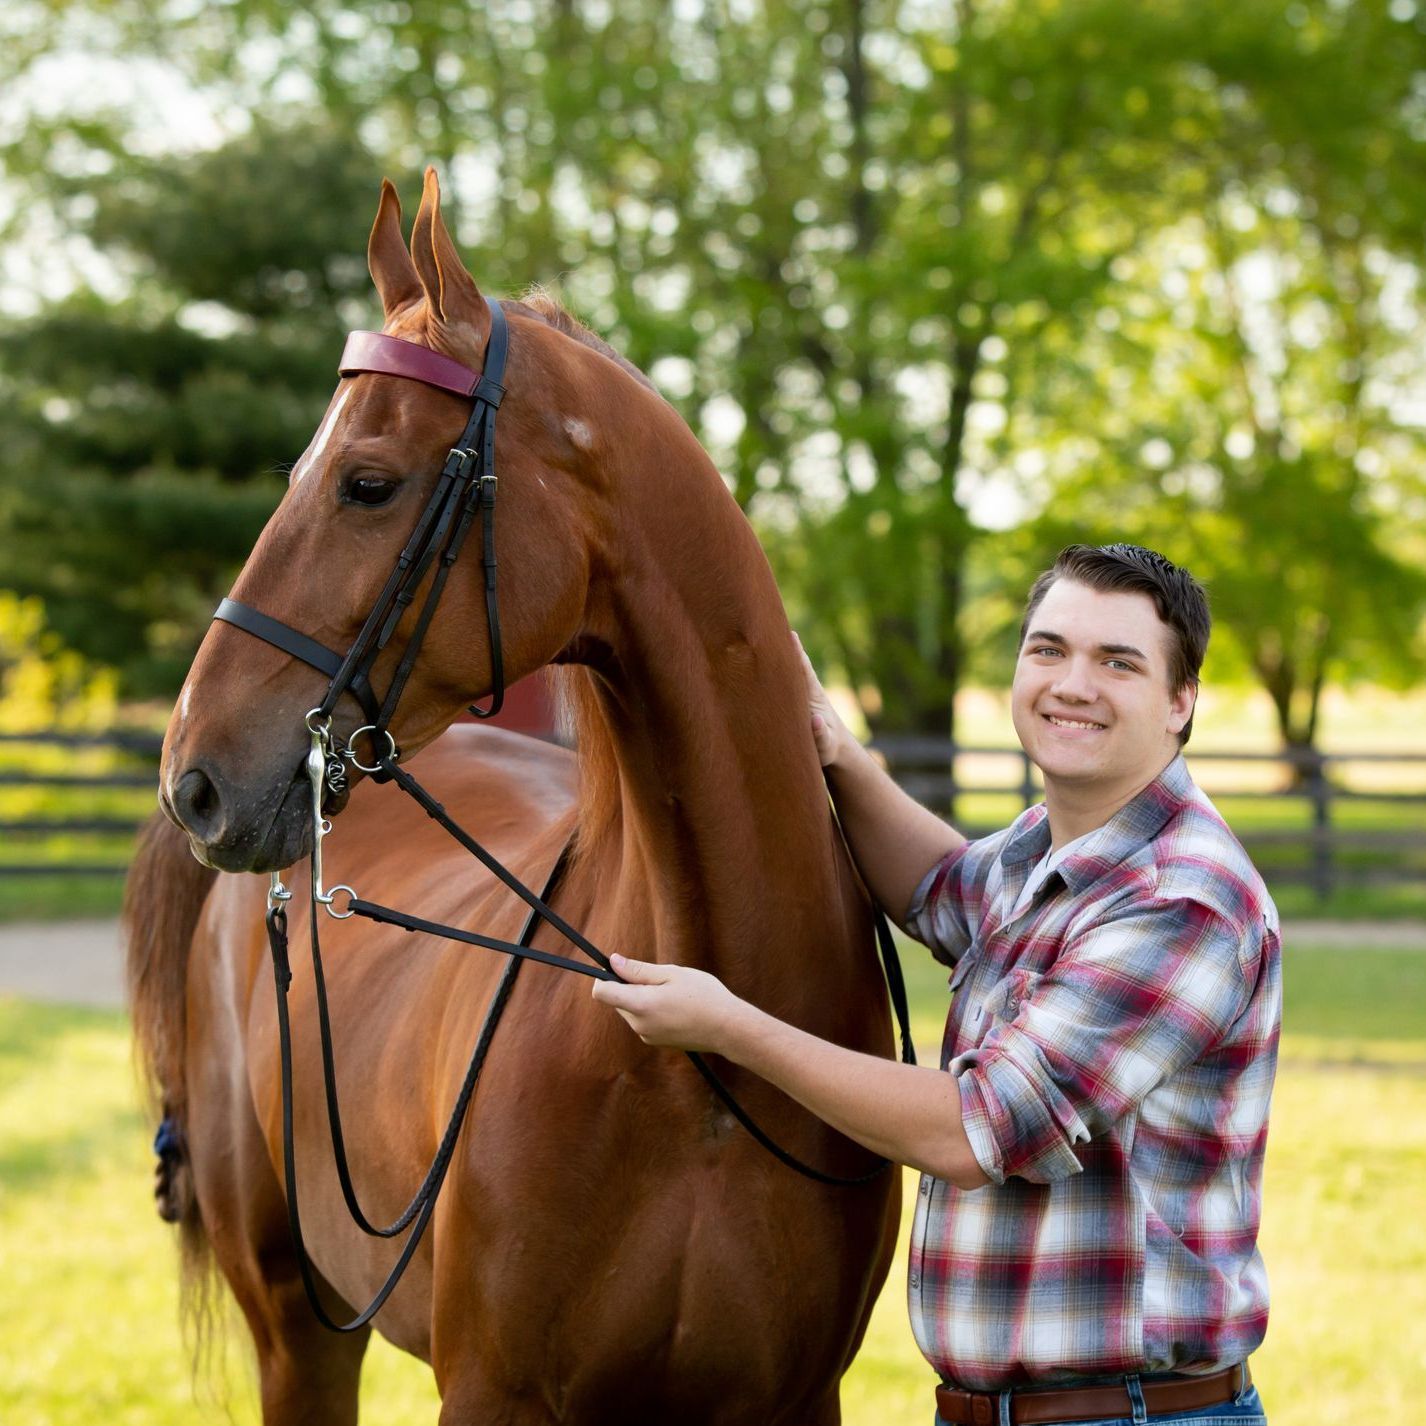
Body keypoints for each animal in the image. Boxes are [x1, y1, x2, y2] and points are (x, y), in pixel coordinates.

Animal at [124, 168, 901, 1425]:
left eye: (367, 484)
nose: (191, 779)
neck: (699, 1065)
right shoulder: (491, 1390)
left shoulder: (794, 1398)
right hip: (297, 1324)